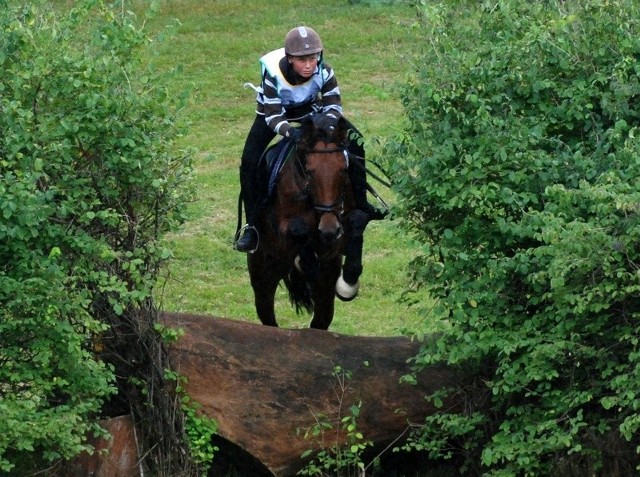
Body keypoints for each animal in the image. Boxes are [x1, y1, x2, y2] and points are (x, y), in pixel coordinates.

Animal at [246, 115, 364, 330]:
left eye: (344, 170)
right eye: (309, 172)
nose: (329, 229)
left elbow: (358, 221)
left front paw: (348, 284)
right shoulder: (284, 229)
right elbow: (298, 229)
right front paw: (305, 261)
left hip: (324, 293)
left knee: (320, 322)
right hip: (263, 278)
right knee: (268, 319)